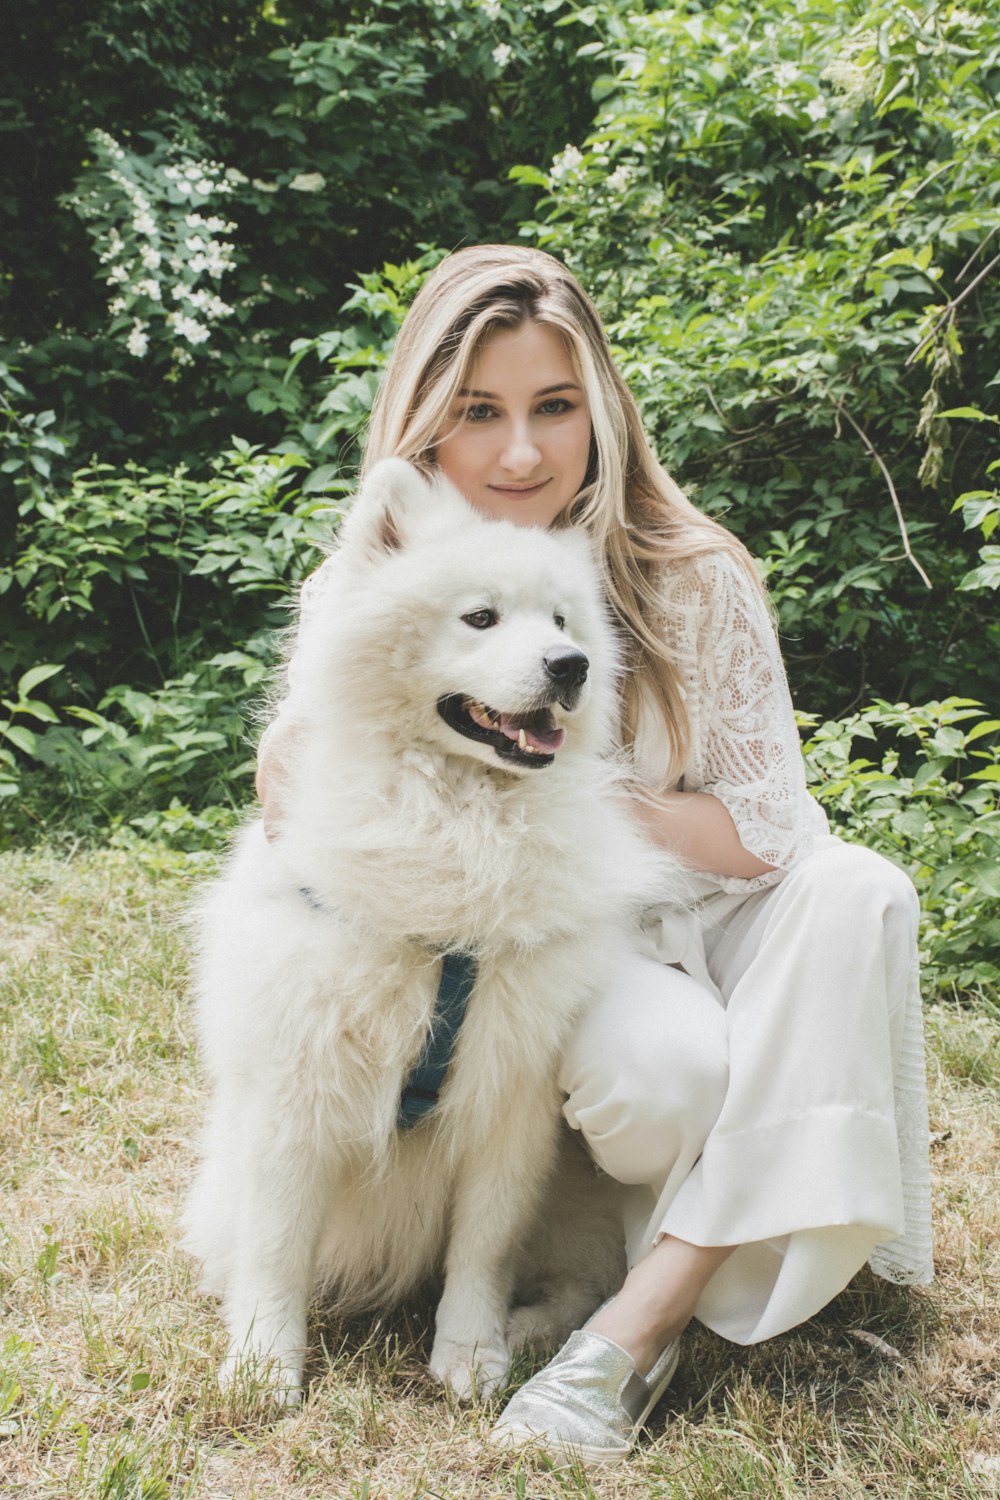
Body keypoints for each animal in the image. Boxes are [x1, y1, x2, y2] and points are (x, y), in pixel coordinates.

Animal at [182, 459, 680, 1404]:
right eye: (480, 617)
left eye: (561, 621)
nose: (572, 667)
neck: (459, 822)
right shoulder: (296, 1086)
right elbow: (275, 1246)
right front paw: (264, 1365)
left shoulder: (511, 1094)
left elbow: (484, 1247)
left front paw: (470, 1353)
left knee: (581, 1283)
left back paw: (529, 1335)